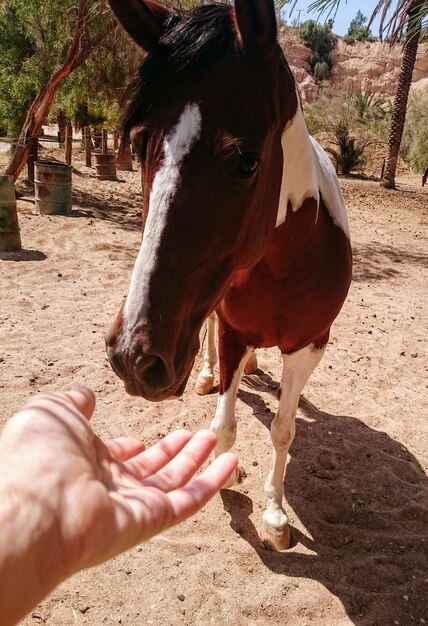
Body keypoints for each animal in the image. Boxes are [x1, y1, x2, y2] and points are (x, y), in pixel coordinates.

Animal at [104, 0, 352, 544]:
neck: (284, 265)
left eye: (246, 162)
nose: (134, 356)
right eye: (140, 144)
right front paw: (226, 473)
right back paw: (207, 373)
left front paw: (276, 514)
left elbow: (284, 428)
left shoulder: (310, 345)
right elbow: (224, 423)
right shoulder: (234, 331)